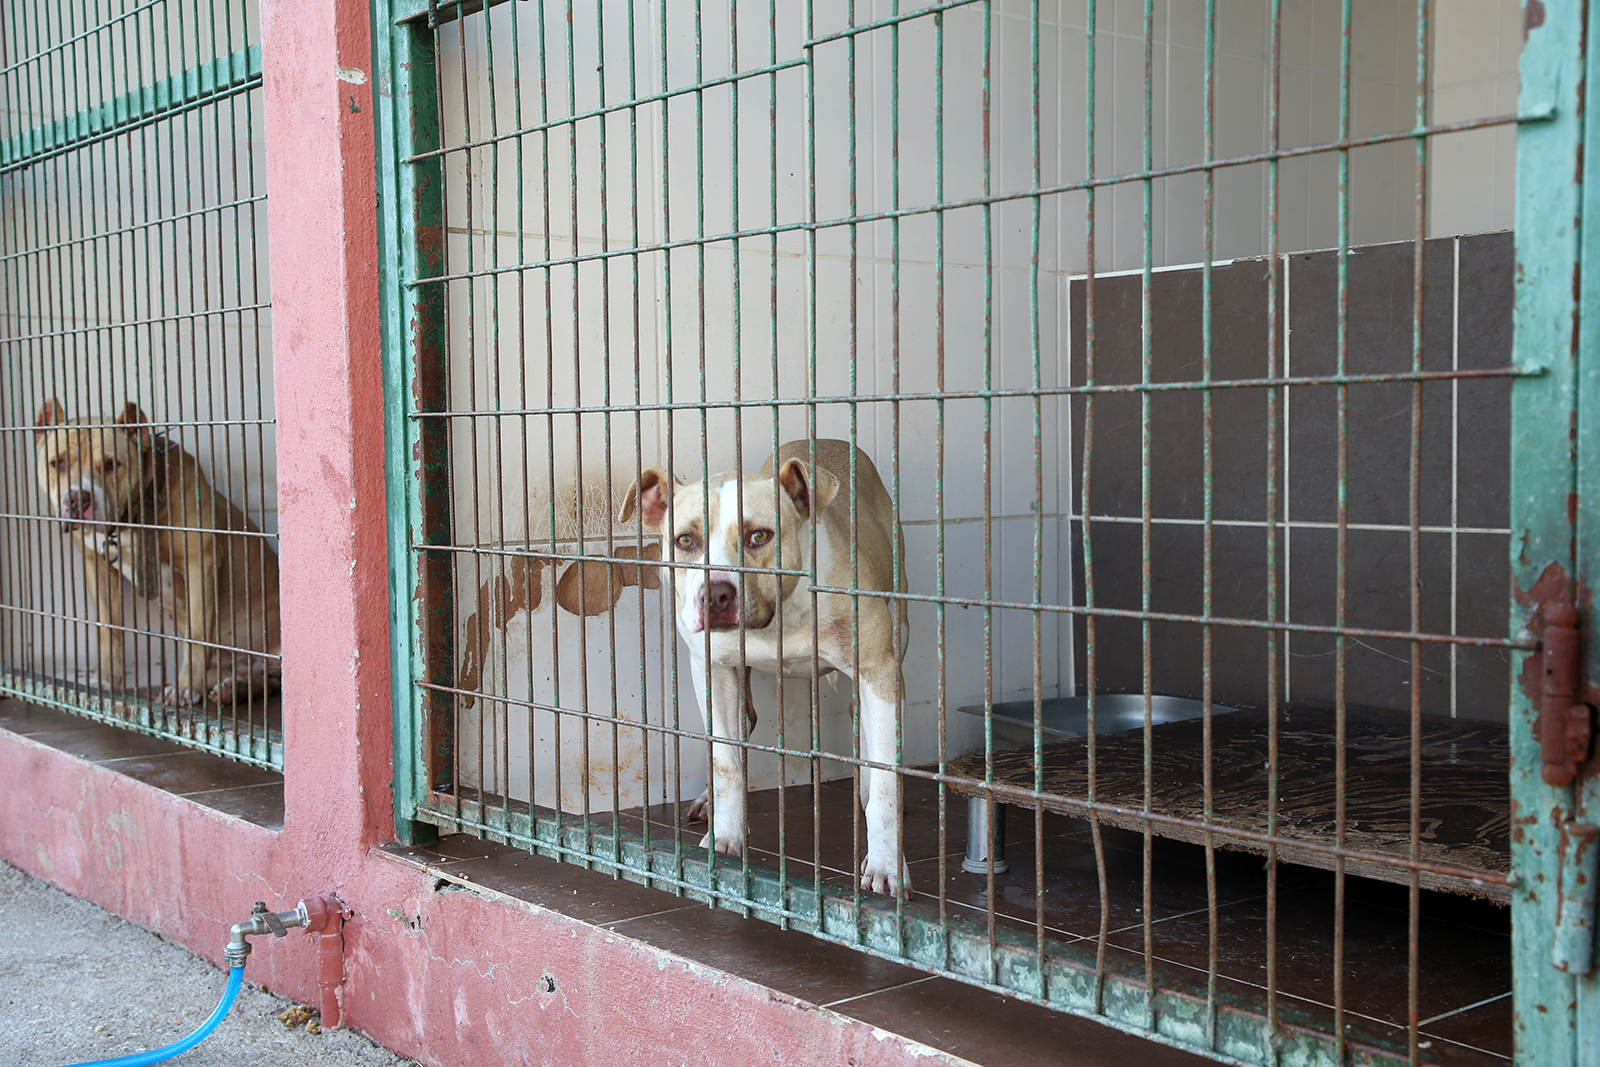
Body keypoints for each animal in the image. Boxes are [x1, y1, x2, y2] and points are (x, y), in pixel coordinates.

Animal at [33, 399, 281, 710]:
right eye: (58, 462)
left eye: (111, 464)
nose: (79, 498)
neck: (135, 516)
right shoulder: (98, 565)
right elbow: (108, 627)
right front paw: (105, 680)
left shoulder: (201, 561)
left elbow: (198, 633)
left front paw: (185, 687)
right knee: (260, 680)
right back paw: (232, 688)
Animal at [617, 438, 908, 895]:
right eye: (685, 540)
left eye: (759, 536)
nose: (716, 594)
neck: (778, 617)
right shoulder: (714, 670)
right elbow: (726, 762)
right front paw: (725, 837)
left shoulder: (879, 671)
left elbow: (885, 783)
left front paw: (886, 866)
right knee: (745, 725)